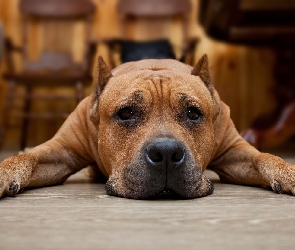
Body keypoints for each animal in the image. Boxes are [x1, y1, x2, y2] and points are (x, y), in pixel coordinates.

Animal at [0, 55, 295, 199]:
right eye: (126, 113)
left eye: (193, 113)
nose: (165, 154)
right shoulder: (60, 151)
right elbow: (26, 158)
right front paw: (5, 172)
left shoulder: (236, 152)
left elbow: (266, 158)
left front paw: (289, 173)